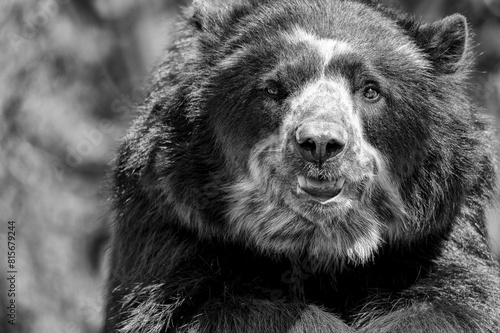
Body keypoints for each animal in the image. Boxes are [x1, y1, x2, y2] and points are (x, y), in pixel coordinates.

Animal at [101, 0, 500, 330]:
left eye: (371, 90)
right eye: (273, 89)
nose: (320, 143)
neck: (318, 246)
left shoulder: (437, 229)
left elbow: (454, 302)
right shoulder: (174, 216)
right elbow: (190, 305)